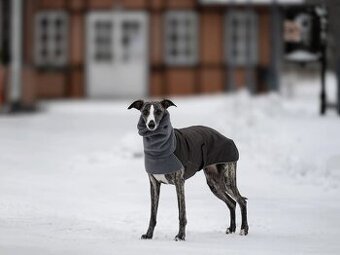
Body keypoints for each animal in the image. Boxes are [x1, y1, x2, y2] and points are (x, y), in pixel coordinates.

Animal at [129, 98, 248, 240]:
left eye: (158, 111)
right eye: (145, 112)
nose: (151, 124)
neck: (158, 149)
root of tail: (228, 139)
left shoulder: (179, 182)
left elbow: (182, 214)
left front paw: (180, 236)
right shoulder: (154, 184)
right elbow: (153, 214)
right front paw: (148, 235)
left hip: (227, 179)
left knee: (241, 201)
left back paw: (243, 229)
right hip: (214, 183)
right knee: (232, 203)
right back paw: (231, 228)